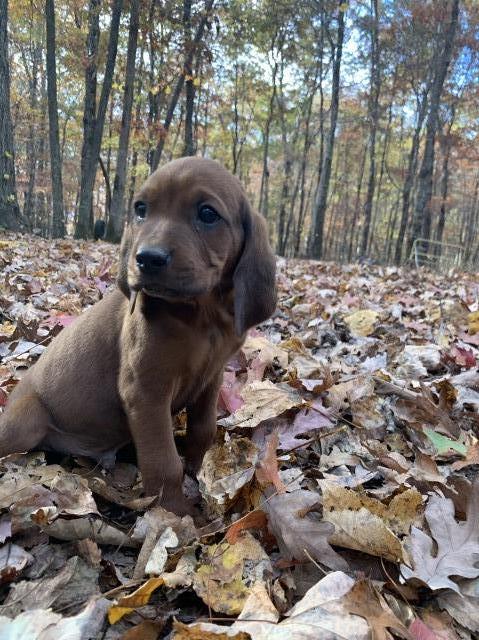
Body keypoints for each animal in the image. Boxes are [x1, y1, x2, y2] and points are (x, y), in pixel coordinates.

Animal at [0, 159, 278, 516]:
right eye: (141, 209)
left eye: (207, 214)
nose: (147, 258)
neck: (201, 317)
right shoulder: (145, 391)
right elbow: (163, 462)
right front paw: (175, 513)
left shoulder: (212, 377)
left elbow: (203, 430)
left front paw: (199, 471)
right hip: (25, 421)